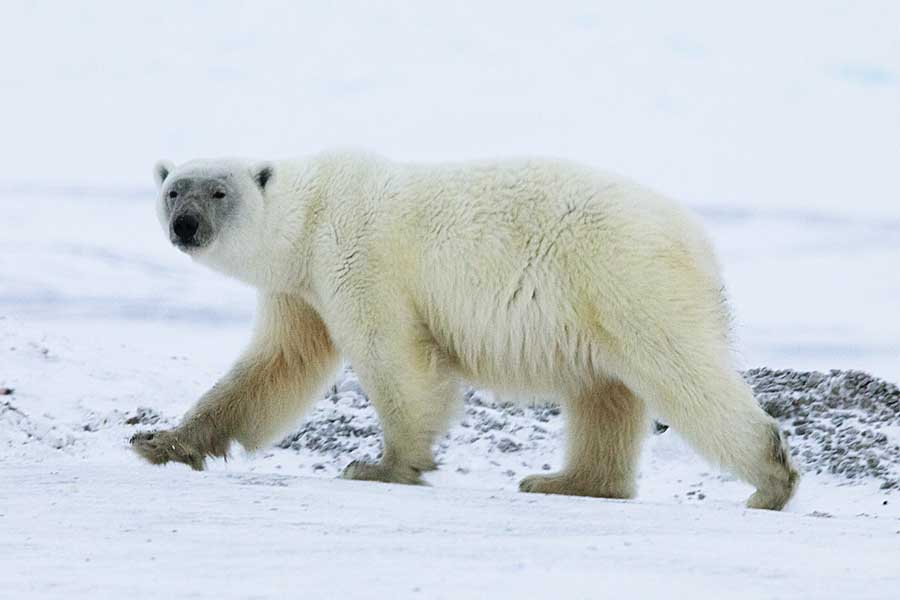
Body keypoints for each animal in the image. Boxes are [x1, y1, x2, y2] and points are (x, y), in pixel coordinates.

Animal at [130, 151, 800, 510]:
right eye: (173, 190)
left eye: (219, 191)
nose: (186, 225)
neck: (310, 215)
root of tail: (699, 240)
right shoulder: (301, 292)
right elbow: (276, 368)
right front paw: (159, 441)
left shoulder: (357, 260)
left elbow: (394, 356)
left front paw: (382, 465)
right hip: (600, 303)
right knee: (604, 394)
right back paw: (565, 480)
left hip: (625, 278)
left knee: (680, 371)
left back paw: (770, 479)